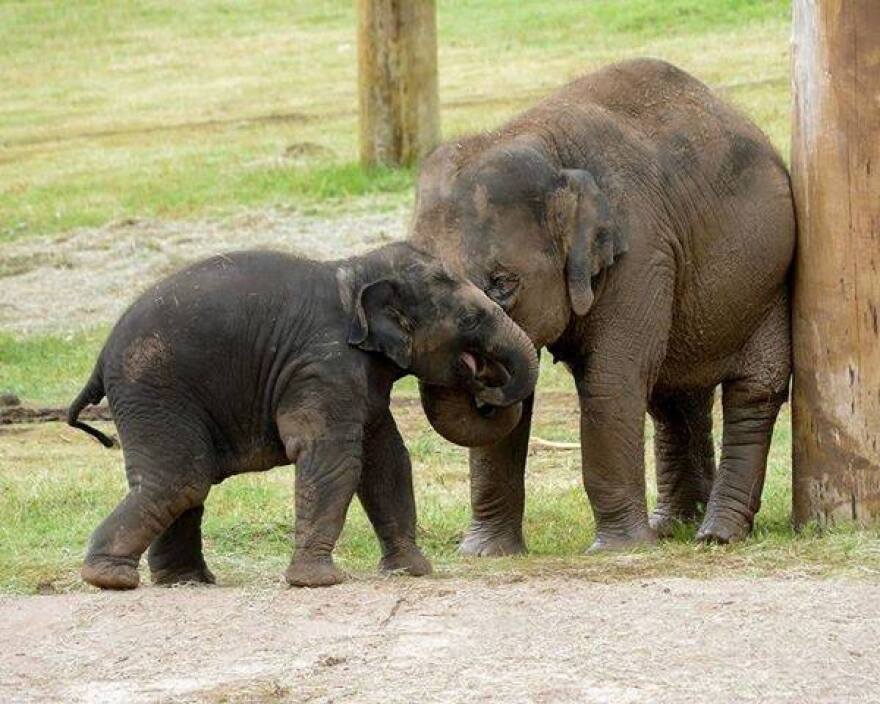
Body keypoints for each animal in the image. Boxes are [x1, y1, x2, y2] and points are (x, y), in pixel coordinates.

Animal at [69, 242, 536, 588]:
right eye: (469, 318)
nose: (485, 383)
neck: (356, 271)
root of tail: (100, 358)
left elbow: (386, 462)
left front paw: (412, 572)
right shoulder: (323, 365)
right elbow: (332, 456)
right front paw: (318, 582)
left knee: (180, 483)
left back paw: (185, 583)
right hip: (155, 389)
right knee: (181, 480)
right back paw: (109, 578)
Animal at [414, 59, 796, 556]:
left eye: (502, 284)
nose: (482, 383)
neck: (541, 141)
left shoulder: (643, 251)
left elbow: (612, 379)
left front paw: (620, 549)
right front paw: (484, 554)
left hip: (769, 282)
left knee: (752, 393)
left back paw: (715, 534)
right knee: (673, 398)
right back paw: (674, 525)